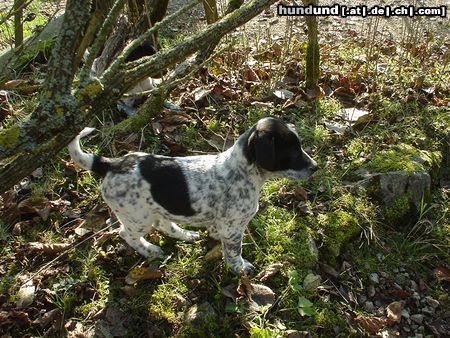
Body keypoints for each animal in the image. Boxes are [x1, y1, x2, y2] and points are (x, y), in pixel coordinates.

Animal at [68, 116, 318, 274]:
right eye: (292, 152)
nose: (315, 167)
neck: (241, 171)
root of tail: (111, 164)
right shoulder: (233, 228)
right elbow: (234, 252)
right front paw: (240, 268)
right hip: (138, 218)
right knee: (126, 234)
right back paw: (151, 251)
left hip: (155, 209)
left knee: (165, 224)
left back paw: (187, 235)